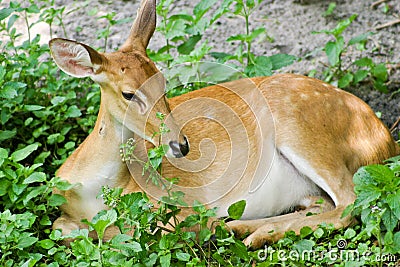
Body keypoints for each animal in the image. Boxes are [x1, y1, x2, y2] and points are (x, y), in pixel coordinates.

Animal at [48, 0, 398, 249]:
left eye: (164, 84)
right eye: (129, 93)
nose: (181, 145)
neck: (96, 188)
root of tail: (385, 138)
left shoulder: (180, 201)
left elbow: (152, 229)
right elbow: (61, 228)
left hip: (304, 132)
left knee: (352, 204)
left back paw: (244, 232)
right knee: (325, 204)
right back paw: (245, 229)